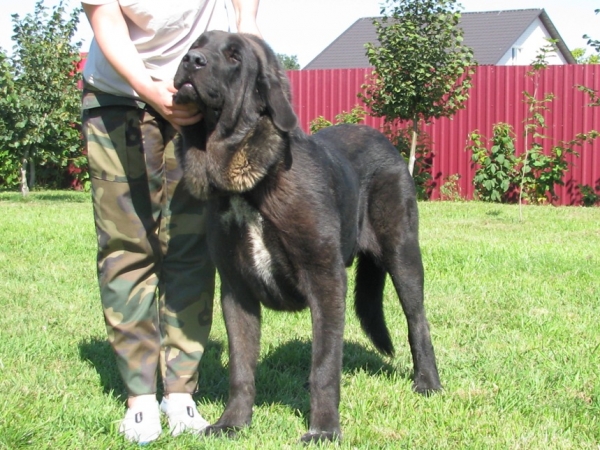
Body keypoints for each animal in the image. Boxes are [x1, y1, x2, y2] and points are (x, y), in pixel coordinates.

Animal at [173, 31, 440, 442]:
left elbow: (325, 365)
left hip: (403, 256)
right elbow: (241, 368)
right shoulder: (236, 290)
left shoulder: (325, 279)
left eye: (234, 56)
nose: (190, 59)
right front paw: (233, 423)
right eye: (197, 44)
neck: (251, 186)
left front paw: (325, 429)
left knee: (417, 321)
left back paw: (427, 382)